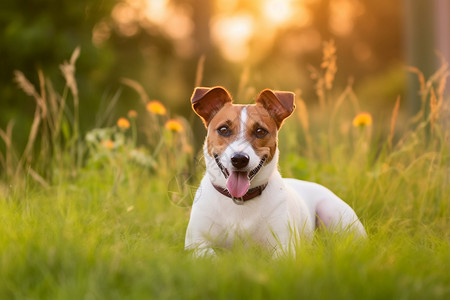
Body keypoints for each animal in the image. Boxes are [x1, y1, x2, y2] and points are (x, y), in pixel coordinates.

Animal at [185, 86, 364, 255]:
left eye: (260, 131)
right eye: (223, 129)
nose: (239, 159)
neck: (240, 201)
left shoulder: (284, 247)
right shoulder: (196, 245)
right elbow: (210, 255)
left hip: (332, 212)